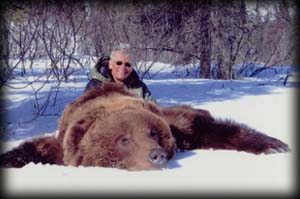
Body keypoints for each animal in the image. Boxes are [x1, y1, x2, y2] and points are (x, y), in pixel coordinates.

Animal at [0, 82, 290, 171]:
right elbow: (35, 148)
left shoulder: (176, 125)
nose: (156, 155)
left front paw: (274, 145)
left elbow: (204, 127)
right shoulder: (62, 144)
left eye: (153, 133)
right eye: (123, 139)